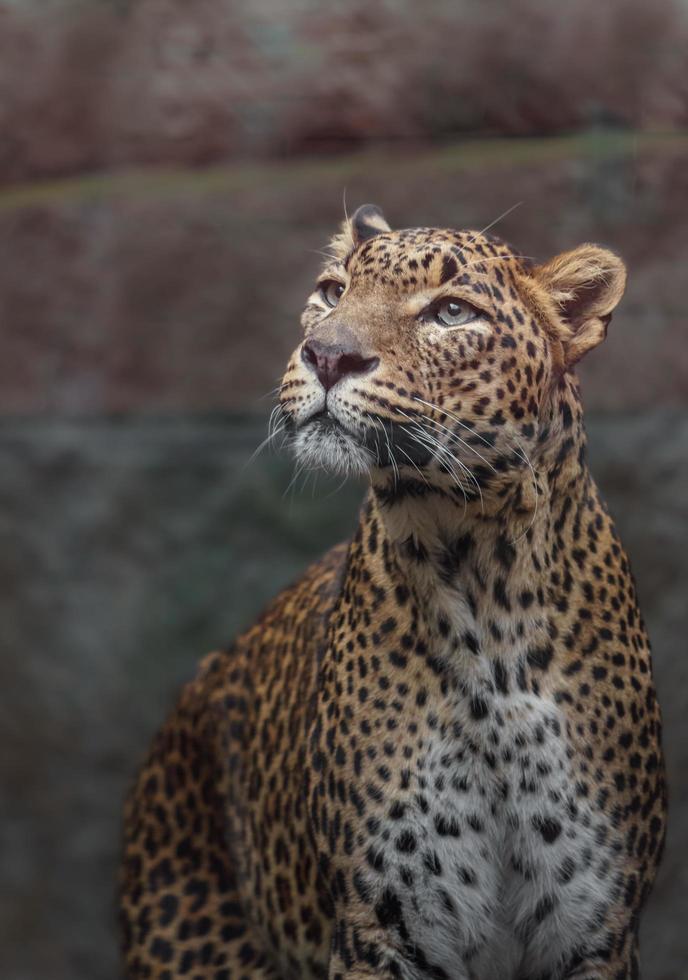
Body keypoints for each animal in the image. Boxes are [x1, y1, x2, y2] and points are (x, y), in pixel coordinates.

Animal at [119, 203, 668, 976]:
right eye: (331, 292)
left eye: (451, 311)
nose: (326, 355)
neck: (481, 580)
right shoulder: (383, 925)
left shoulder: (594, 925)